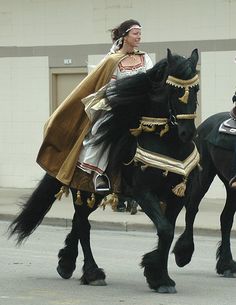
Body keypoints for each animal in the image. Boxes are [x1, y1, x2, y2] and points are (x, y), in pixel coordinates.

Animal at [8, 49, 199, 292]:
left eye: (196, 89)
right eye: (173, 91)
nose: (187, 133)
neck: (168, 143)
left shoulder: (177, 196)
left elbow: (168, 231)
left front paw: (159, 274)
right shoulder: (143, 193)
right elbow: (165, 230)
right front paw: (158, 275)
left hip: (93, 195)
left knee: (78, 222)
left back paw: (66, 263)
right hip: (85, 190)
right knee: (83, 225)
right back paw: (92, 273)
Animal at [172, 112, 236, 278]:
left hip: (229, 183)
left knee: (226, 218)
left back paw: (226, 264)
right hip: (204, 175)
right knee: (192, 209)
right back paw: (184, 252)